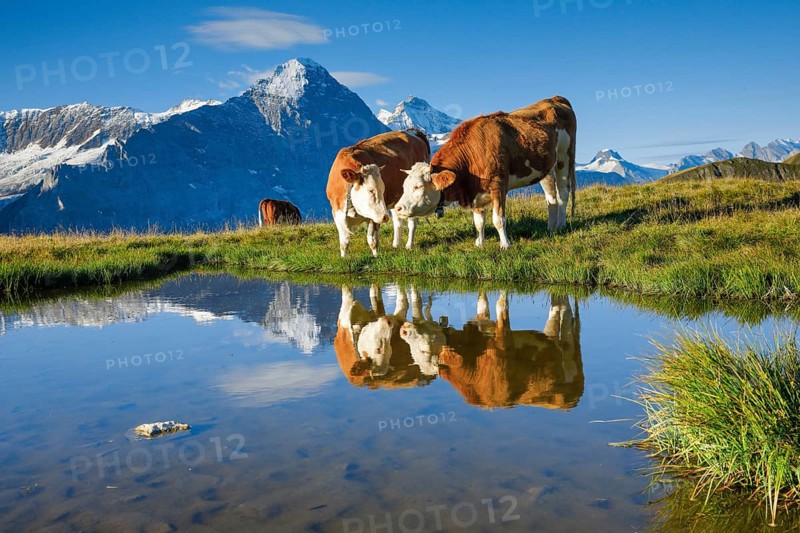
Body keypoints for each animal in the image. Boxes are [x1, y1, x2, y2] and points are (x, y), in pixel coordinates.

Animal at [393, 96, 577, 248]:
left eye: (418, 186)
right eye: (403, 186)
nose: (398, 208)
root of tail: (554, 98)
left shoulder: (498, 186)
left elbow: (499, 220)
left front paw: (505, 245)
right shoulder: (474, 192)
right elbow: (479, 222)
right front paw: (480, 244)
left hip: (565, 156)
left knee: (563, 192)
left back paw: (561, 225)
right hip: (545, 168)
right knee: (551, 196)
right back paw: (551, 227)